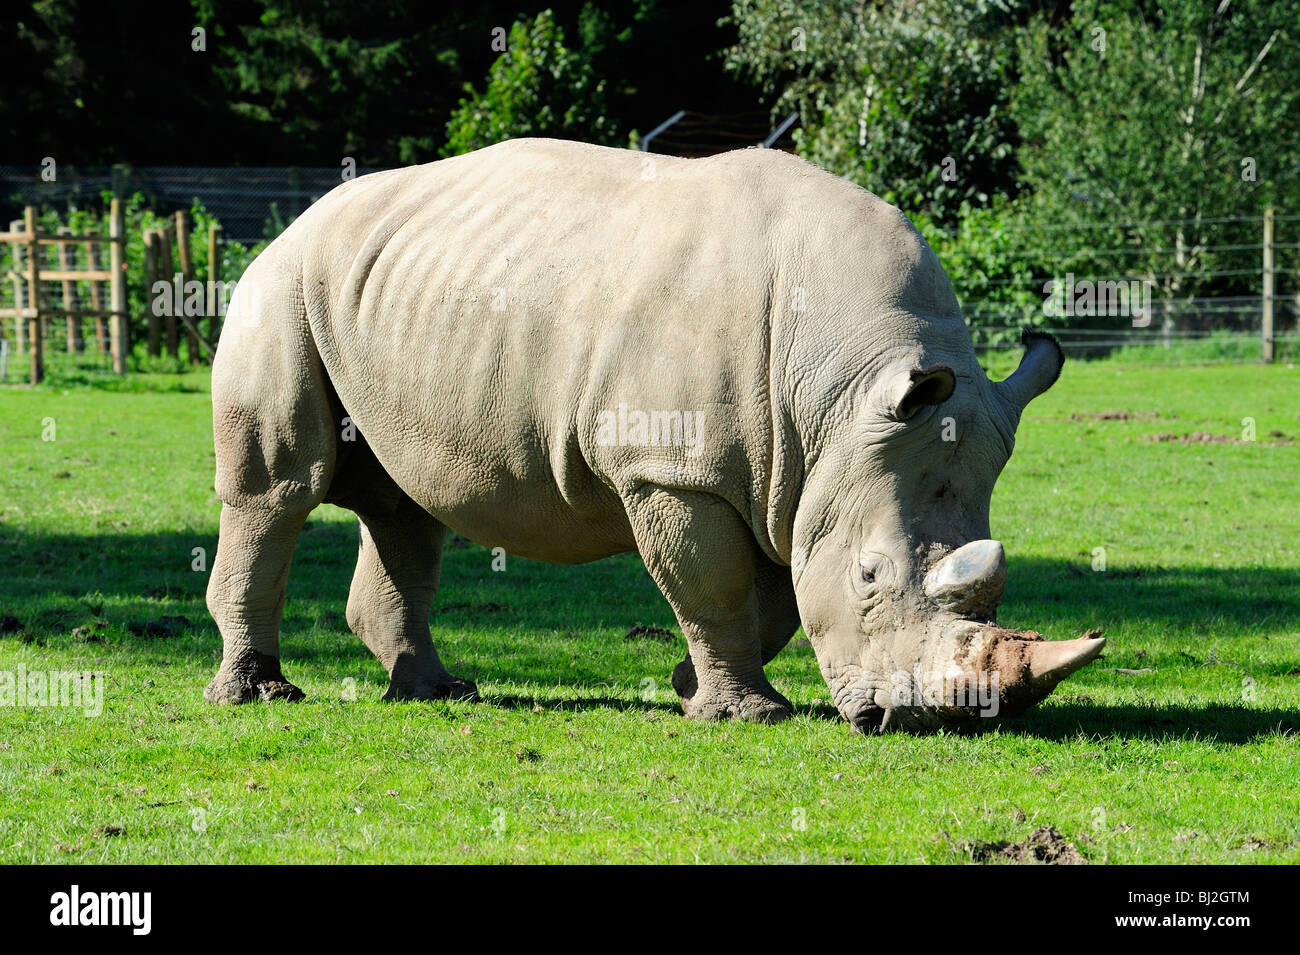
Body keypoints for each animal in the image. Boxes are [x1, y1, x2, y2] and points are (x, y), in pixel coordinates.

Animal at [204, 137, 1103, 733]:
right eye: (872, 575)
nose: (929, 721)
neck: (837, 389)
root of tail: (297, 219)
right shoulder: (671, 467)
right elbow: (716, 588)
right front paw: (747, 713)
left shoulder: (793, 475)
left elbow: (777, 594)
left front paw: (685, 684)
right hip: (279, 286)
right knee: (278, 491)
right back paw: (259, 695)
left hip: (389, 297)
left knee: (407, 507)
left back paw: (436, 692)